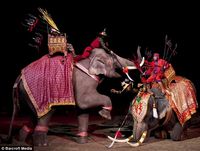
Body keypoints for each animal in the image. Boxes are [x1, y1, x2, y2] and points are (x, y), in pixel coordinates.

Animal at [4, 47, 144, 146]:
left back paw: (21, 140)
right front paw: (105, 115)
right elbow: (84, 102)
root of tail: (19, 77)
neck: (89, 59)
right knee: (45, 115)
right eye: (114, 59)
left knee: (33, 115)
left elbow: (83, 110)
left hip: (27, 95)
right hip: (40, 93)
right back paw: (42, 144)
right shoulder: (83, 83)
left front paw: (82, 141)